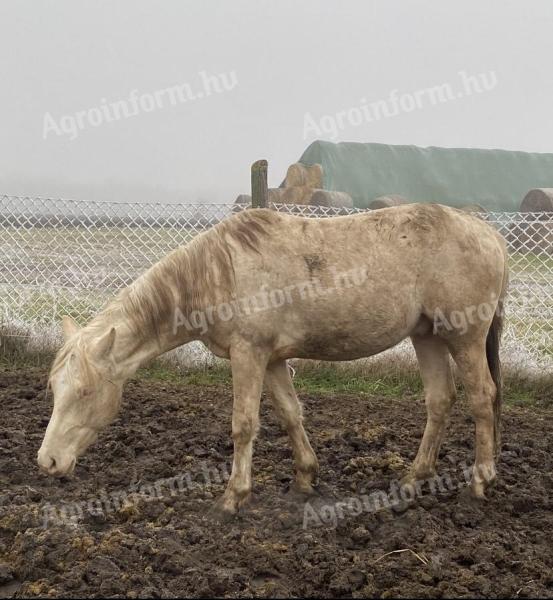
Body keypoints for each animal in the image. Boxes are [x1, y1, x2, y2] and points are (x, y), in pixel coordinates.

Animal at [37, 203, 508, 516]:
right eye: (54, 388)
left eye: (84, 392)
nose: (48, 462)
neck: (219, 271)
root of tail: (488, 233)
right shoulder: (273, 360)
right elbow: (289, 414)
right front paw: (304, 479)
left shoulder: (248, 354)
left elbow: (244, 424)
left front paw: (233, 497)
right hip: (426, 336)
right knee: (440, 400)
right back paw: (414, 478)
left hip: (463, 337)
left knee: (482, 399)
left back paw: (480, 482)